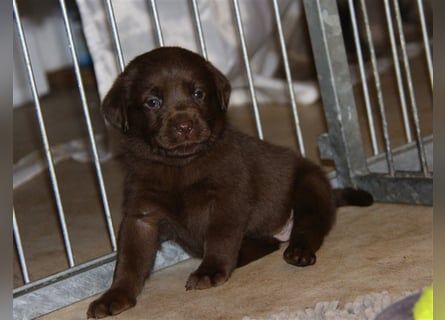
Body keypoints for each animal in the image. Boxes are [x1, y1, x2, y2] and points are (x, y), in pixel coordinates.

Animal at [86, 47, 372, 318]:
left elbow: (219, 236)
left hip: (309, 187)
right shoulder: (141, 214)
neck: (180, 167)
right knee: (268, 243)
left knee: (309, 226)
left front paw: (210, 270)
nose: (184, 125)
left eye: (199, 93)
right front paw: (115, 296)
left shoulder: (228, 197)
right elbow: (129, 260)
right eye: (152, 102)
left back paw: (298, 251)